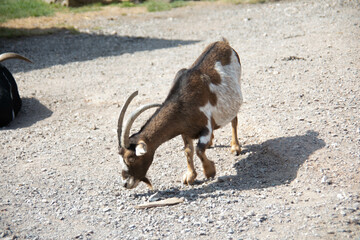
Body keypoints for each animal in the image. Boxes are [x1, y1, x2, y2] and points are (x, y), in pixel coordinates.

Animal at [117, 39, 242, 189]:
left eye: (131, 158)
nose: (125, 183)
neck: (182, 102)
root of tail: (222, 42)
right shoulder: (184, 130)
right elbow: (188, 151)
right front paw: (190, 176)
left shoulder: (205, 126)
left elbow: (199, 150)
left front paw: (210, 171)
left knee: (234, 119)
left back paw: (235, 147)